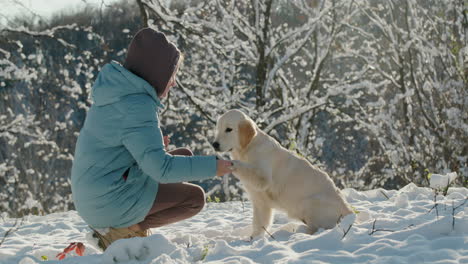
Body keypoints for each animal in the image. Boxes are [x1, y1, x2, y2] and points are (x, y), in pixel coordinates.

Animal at [212, 109, 352, 237]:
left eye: (229, 129)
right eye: (218, 129)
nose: (214, 144)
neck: (248, 148)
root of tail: (348, 211)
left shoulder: (263, 178)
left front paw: (231, 163)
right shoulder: (259, 201)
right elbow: (259, 222)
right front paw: (253, 239)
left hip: (311, 202)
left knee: (318, 227)